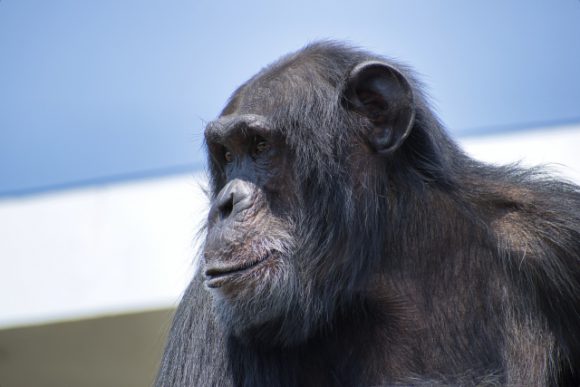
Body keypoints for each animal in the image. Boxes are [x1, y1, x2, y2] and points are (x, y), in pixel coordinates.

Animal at [156, 41, 580, 386]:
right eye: (227, 155)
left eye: (259, 146)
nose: (226, 203)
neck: (389, 265)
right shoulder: (206, 319)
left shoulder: (559, 231)